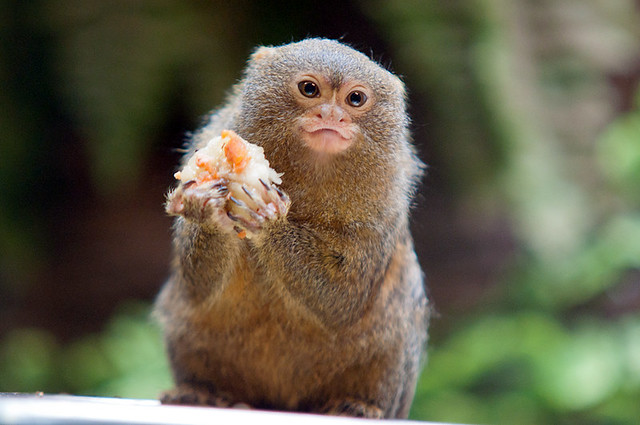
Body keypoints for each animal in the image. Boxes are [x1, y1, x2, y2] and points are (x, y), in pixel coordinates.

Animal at [154, 37, 430, 418]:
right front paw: (205, 210)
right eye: (309, 89)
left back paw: (359, 404)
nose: (331, 116)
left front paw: (271, 221)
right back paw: (202, 392)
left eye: (355, 99)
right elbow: (196, 286)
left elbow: (343, 300)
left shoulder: (384, 207)